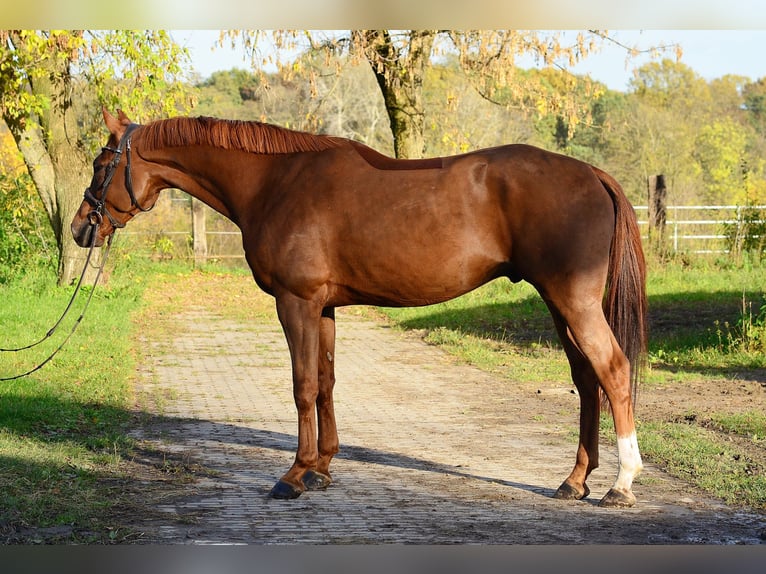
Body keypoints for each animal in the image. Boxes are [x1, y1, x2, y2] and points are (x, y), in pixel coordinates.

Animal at [72, 109, 648, 507]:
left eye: (101, 165)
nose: (81, 227)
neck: (274, 183)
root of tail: (592, 173)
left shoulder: (296, 303)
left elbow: (303, 386)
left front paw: (293, 476)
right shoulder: (323, 308)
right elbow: (325, 383)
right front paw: (321, 469)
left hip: (571, 299)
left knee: (613, 371)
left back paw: (621, 484)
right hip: (557, 302)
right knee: (587, 379)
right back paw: (575, 480)